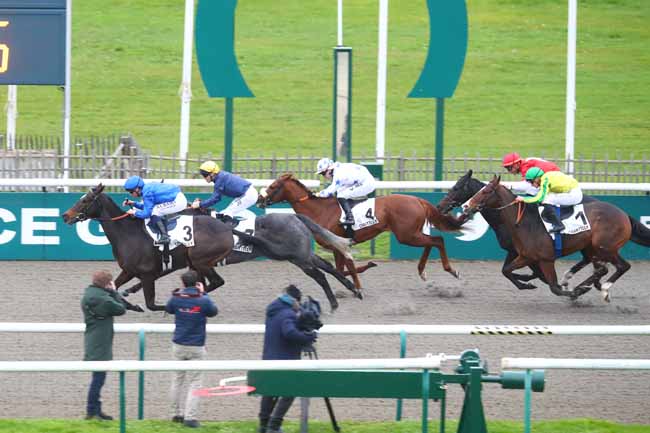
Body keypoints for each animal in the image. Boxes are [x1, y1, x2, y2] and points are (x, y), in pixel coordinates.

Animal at [61, 182, 233, 310]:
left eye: (85, 200)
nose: (65, 216)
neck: (127, 234)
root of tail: (226, 229)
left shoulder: (147, 275)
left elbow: (151, 304)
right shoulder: (128, 271)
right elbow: (112, 288)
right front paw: (130, 304)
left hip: (201, 261)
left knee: (216, 282)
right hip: (194, 263)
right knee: (204, 283)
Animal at [256, 172, 464, 286]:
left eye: (273, 186)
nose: (259, 199)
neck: (320, 210)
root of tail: (418, 200)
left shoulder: (338, 244)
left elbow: (344, 269)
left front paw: (358, 283)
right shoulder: (338, 247)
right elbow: (341, 269)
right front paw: (365, 270)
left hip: (406, 235)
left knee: (437, 240)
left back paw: (451, 270)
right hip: (411, 234)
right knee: (431, 242)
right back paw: (422, 271)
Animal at [460, 173, 648, 300]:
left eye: (486, 191)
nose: (466, 206)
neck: (525, 222)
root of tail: (623, 214)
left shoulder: (546, 259)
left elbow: (554, 287)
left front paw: (572, 291)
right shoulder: (526, 256)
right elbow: (506, 270)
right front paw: (527, 284)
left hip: (606, 247)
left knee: (622, 266)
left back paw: (603, 289)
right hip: (593, 248)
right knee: (602, 269)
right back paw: (583, 284)